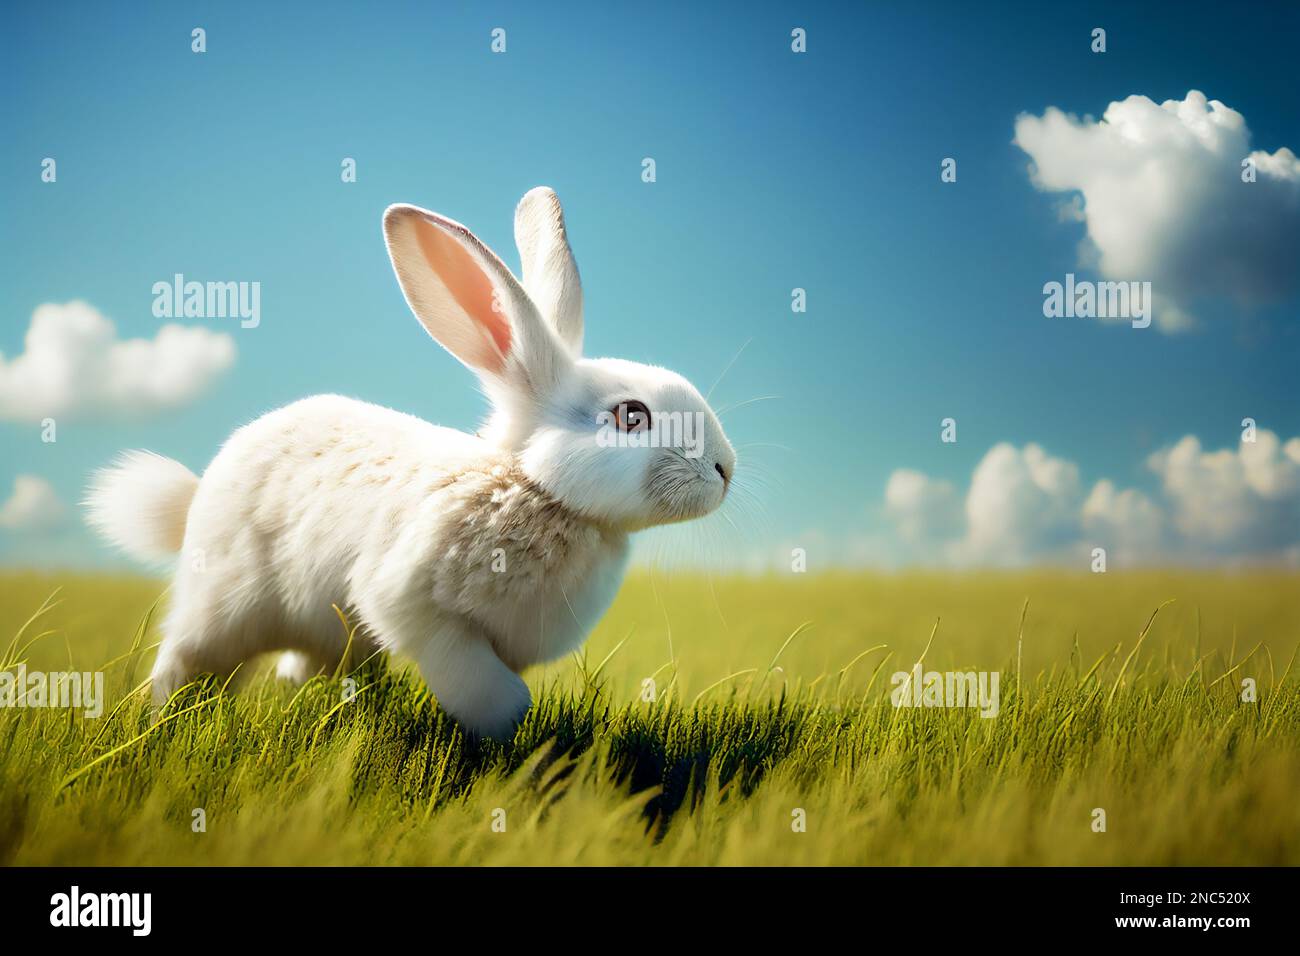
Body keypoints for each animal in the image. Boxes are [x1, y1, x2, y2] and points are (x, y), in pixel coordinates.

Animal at [85, 187, 736, 739]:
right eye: (631, 416)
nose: (725, 470)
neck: (531, 487)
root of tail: (196, 496)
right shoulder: (411, 603)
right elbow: (484, 686)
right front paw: (504, 729)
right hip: (224, 605)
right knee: (186, 660)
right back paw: (164, 721)